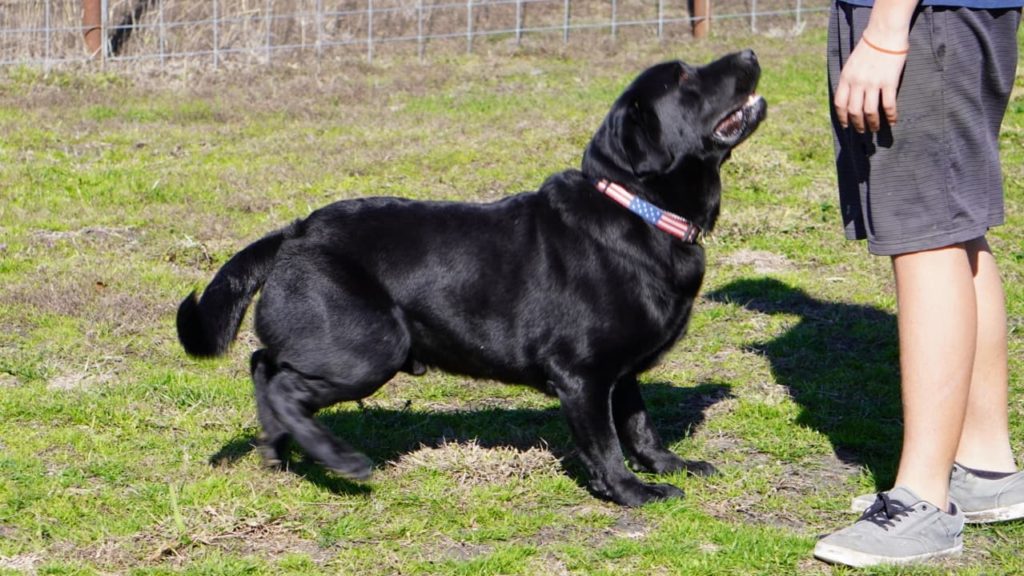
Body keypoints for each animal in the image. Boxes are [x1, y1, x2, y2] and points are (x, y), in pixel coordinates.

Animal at [180, 51, 765, 504]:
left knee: (263, 366)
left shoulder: (620, 373)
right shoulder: (583, 374)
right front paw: (632, 492)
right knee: (280, 382)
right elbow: (605, 444)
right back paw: (339, 459)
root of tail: (294, 233)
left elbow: (640, 425)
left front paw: (670, 466)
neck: (640, 210)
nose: (750, 54)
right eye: (685, 79)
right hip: (369, 347)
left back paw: (278, 451)